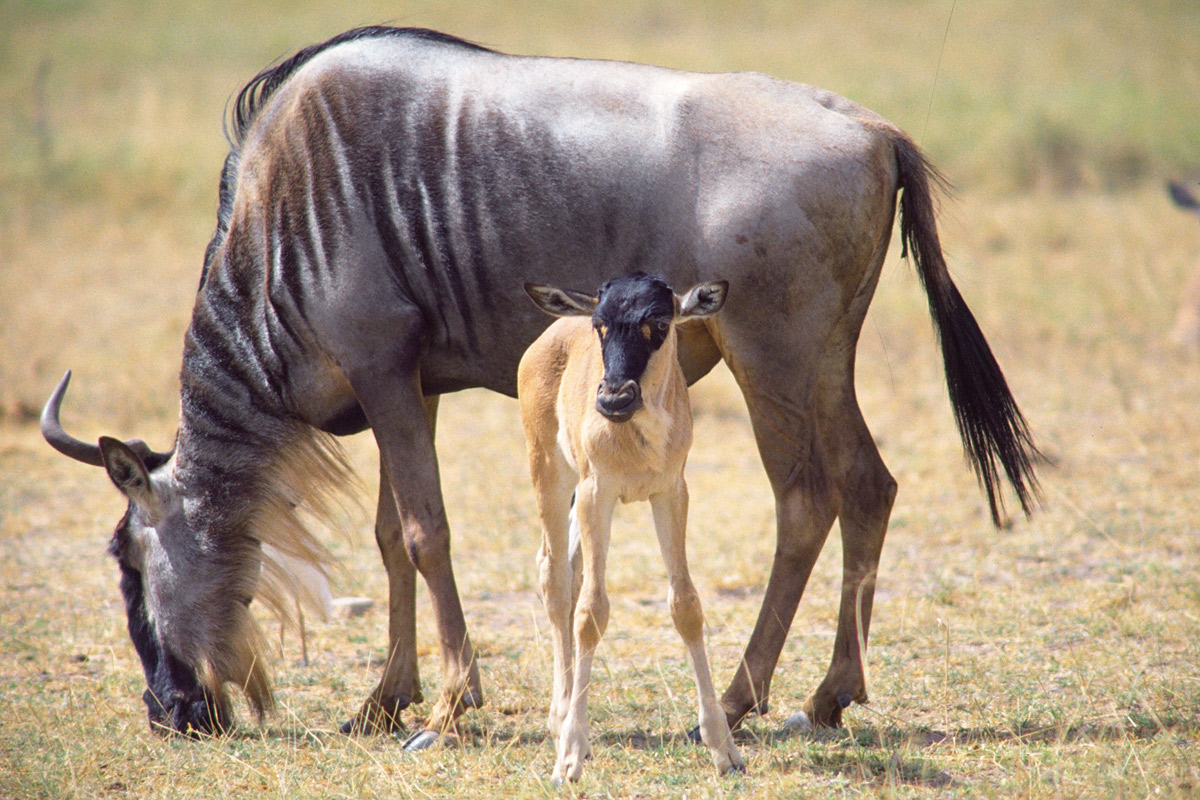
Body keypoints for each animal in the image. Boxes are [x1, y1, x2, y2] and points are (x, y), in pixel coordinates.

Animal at [518, 273, 739, 782]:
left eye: (659, 322)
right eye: (600, 324)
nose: (614, 399)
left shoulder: (671, 493)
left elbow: (686, 605)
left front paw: (724, 749)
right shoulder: (597, 493)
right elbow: (591, 611)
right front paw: (571, 756)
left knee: (569, 568)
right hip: (551, 475)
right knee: (554, 576)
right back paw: (560, 720)